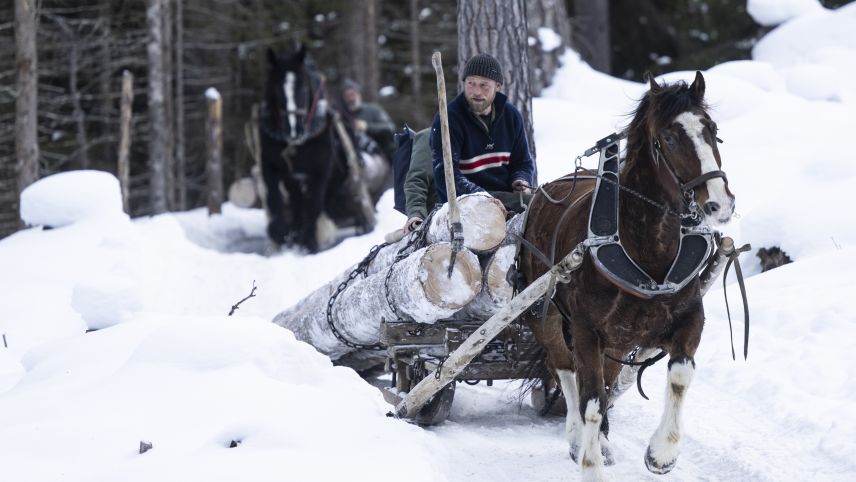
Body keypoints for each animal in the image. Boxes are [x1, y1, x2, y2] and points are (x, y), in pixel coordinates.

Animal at [260, 46, 378, 252]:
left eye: (303, 88)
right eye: (275, 88)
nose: (293, 130)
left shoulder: (321, 169)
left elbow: (315, 204)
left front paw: (309, 242)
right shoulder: (271, 165)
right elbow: (275, 199)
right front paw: (282, 234)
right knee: (298, 202)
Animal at [520, 72, 736, 482]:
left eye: (713, 130)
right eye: (668, 137)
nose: (720, 203)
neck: (648, 250)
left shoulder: (689, 319)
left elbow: (680, 375)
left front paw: (662, 453)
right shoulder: (586, 331)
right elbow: (589, 400)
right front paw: (589, 464)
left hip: (619, 342)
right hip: (547, 316)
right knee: (565, 370)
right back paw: (578, 439)